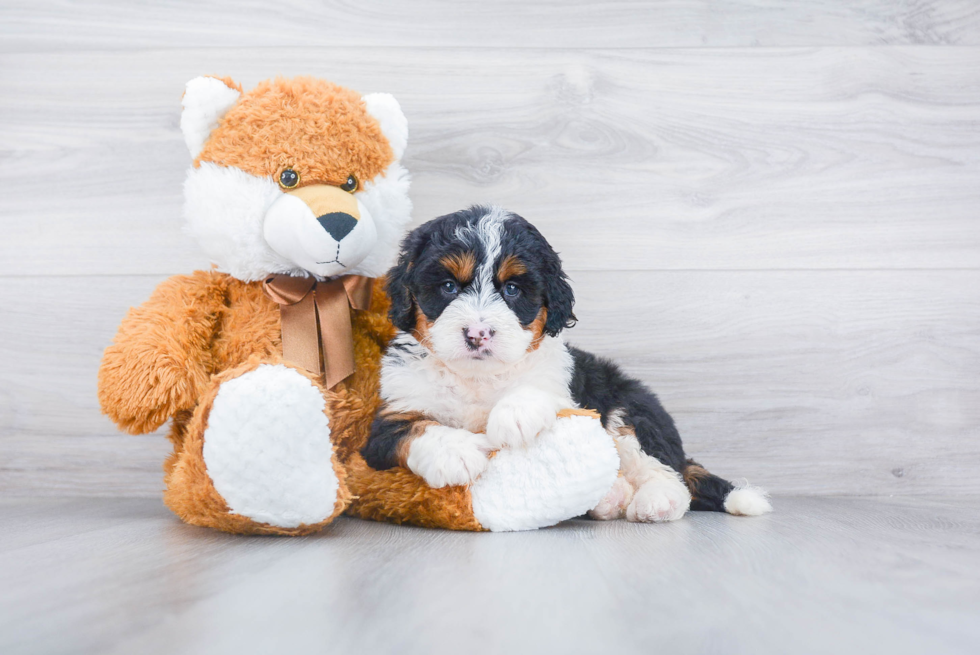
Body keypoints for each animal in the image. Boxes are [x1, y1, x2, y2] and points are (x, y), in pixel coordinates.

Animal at [362, 205, 772, 524]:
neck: (476, 378)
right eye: (448, 286)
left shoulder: (567, 386)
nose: (478, 333)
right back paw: (609, 498)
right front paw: (456, 452)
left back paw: (656, 501)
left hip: (630, 411)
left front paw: (514, 415)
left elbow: (543, 394)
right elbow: (413, 429)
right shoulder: (389, 419)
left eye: (512, 289)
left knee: (668, 472)